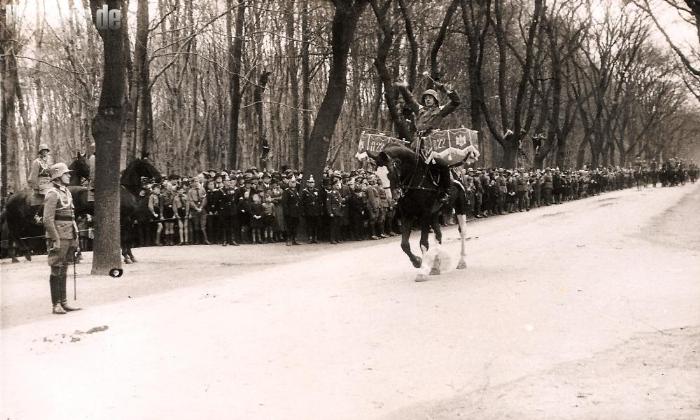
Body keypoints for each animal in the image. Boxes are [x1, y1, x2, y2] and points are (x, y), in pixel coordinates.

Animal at [372, 144, 464, 282]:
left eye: (389, 173)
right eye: (377, 175)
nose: (389, 200)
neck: (414, 180)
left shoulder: (424, 215)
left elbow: (423, 243)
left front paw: (421, 272)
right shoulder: (407, 215)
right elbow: (404, 244)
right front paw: (417, 262)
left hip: (459, 209)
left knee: (462, 232)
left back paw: (462, 262)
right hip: (434, 214)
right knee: (438, 235)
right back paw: (435, 267)